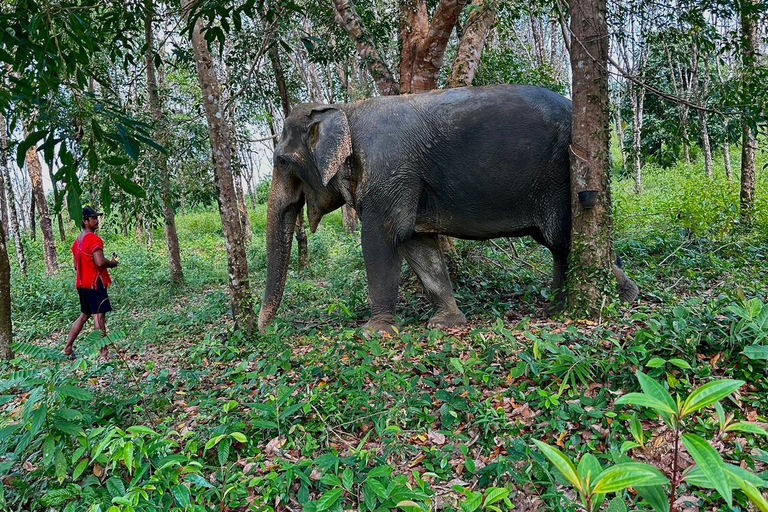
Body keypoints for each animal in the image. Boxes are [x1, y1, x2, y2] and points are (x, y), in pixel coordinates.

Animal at [260, 85, 636, 336]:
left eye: (282, 160)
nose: (264, 332)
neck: (344, 109)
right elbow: (417, 244)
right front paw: (446, 323)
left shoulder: (390, 172)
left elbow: (382, 237)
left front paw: (373, 332)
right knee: (558, 245)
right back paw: (558, 308)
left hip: (563, 175)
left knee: (563, 238)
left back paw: (622, 298)